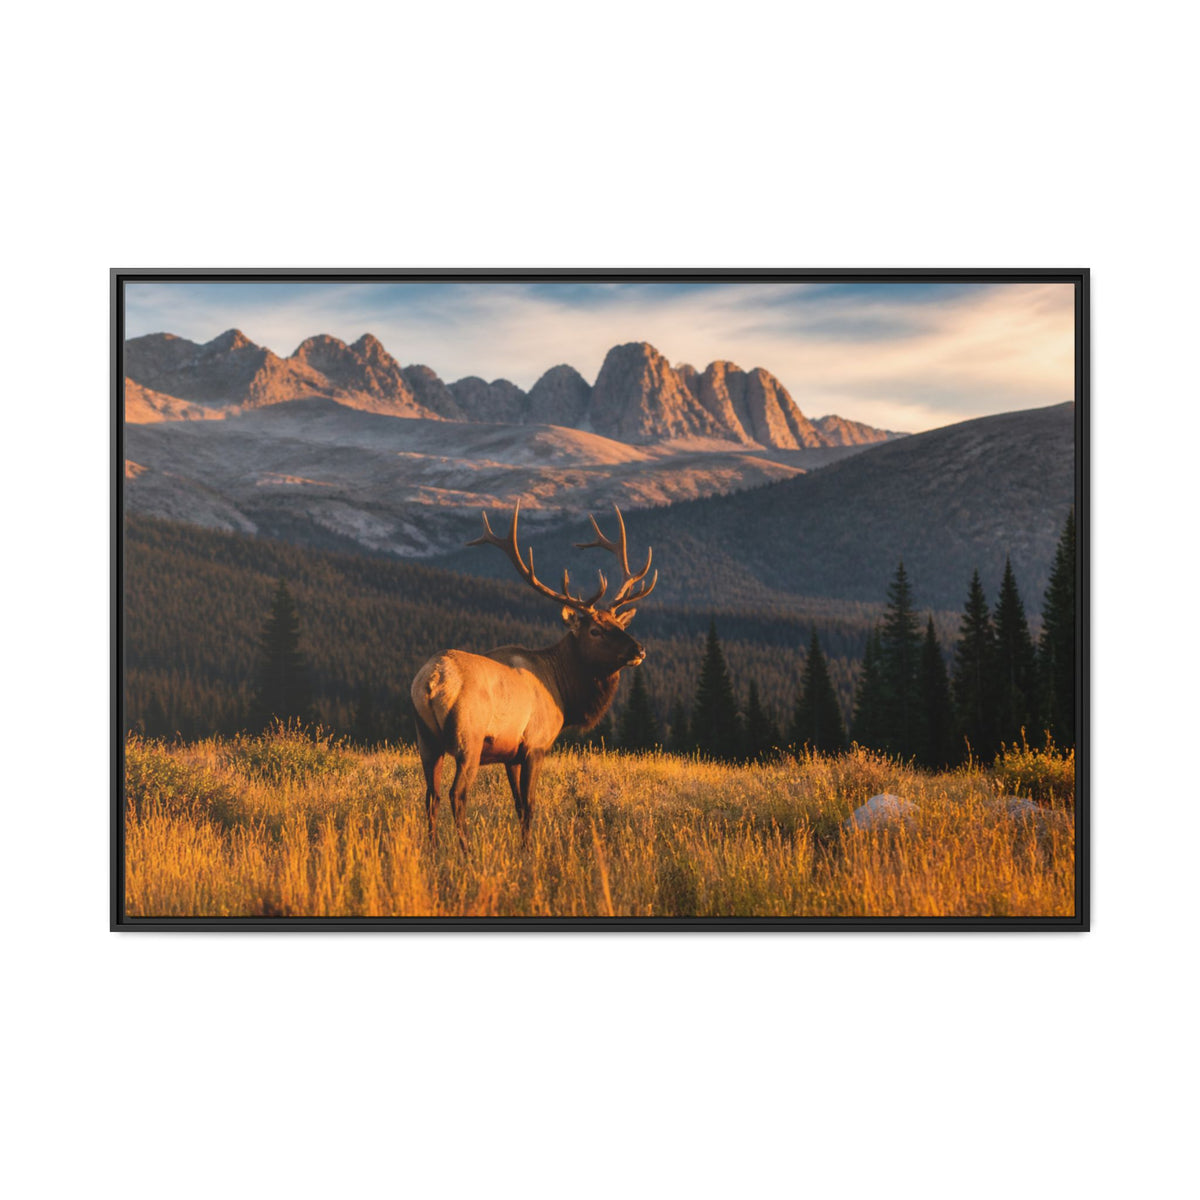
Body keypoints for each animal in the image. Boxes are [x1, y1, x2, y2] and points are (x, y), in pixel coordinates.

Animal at [410, 500, 656, 852]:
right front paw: (528, 851)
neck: (563, 693)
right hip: (468, 739)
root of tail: (432, 680)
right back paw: (466, 851)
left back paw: (432, 850)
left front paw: (523, 846)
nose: (639, 650)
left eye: (619, 625)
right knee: (457, 794)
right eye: (595, 630)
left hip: (426, 740)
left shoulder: (511, 755)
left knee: (431, 796)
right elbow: (529, 805)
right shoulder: (535, 744)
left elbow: (516, 804)